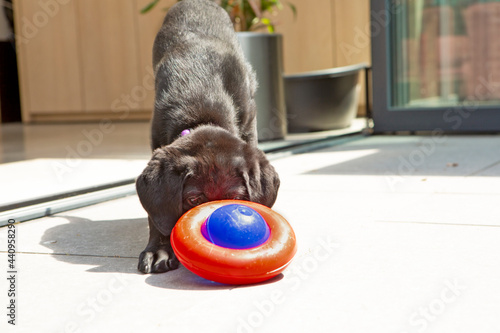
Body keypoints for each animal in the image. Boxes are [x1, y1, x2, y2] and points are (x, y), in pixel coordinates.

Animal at [135, 0, 280, 272]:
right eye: (193, 199)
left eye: (236, 198)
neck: (201, 114)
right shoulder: (155, 139)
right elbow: (157, 214)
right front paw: (158, 249)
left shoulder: (250, 122)